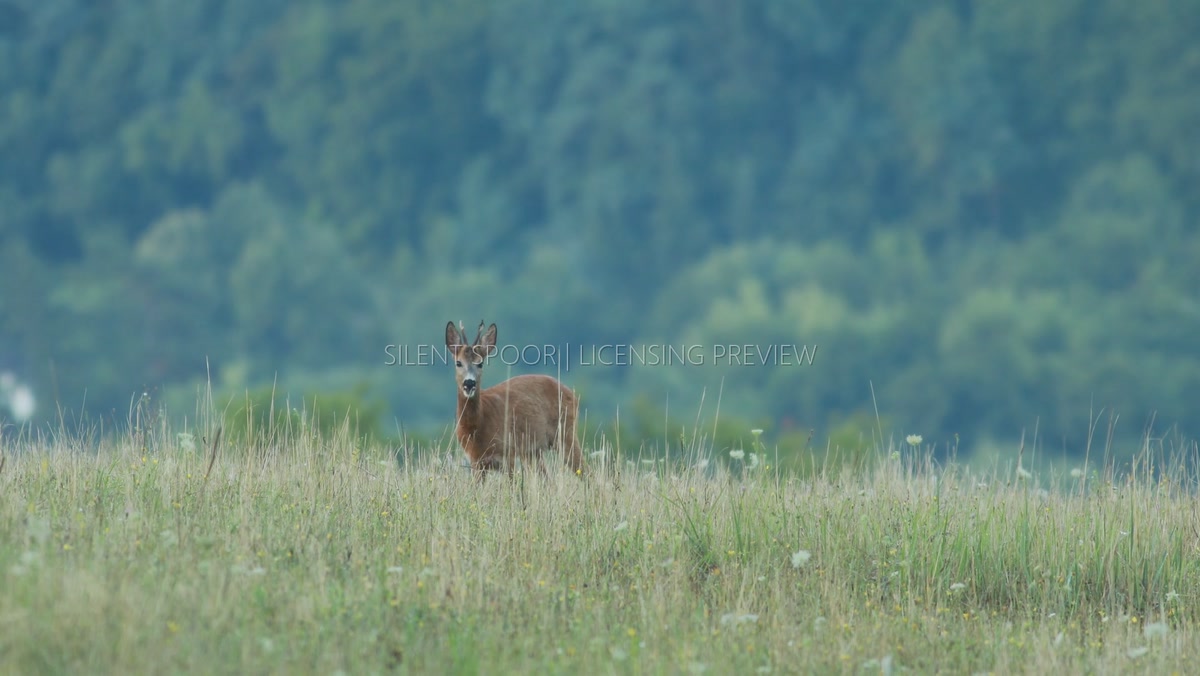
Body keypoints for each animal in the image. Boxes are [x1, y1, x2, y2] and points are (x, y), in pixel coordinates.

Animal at [444, 320, 585, 480]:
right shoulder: (475, 462)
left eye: (480, 363)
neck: (477, 427)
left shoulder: (508, 452)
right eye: (458, 363)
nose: (469, 383)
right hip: (533, 451)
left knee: (586, 471)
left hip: (565, 433)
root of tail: (573, 395)